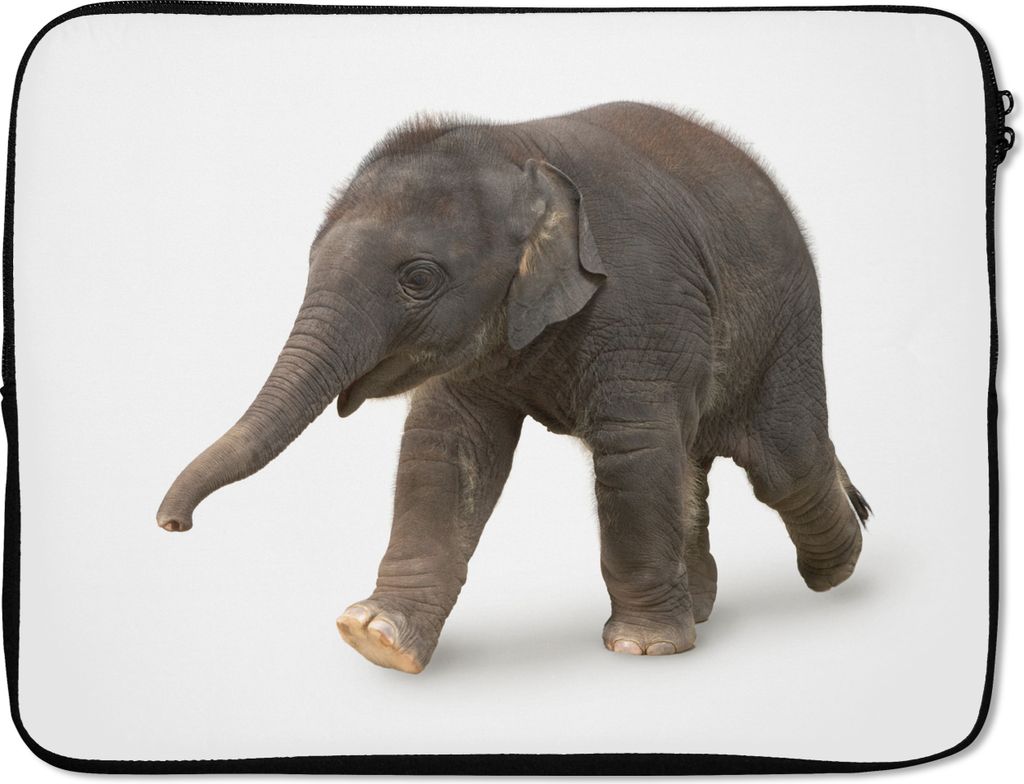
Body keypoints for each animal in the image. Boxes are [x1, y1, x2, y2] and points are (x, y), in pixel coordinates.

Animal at [157, 101, 870, 674]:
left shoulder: (644, 303)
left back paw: (838, 568)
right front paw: (375, 638)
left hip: (785, 328)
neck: (519, 150)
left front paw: (643, 649)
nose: (171, 524)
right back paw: (704, 607)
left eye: (418, 279)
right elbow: (446, 449)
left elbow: (634, 451)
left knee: (784, 463)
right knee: (697, 462)